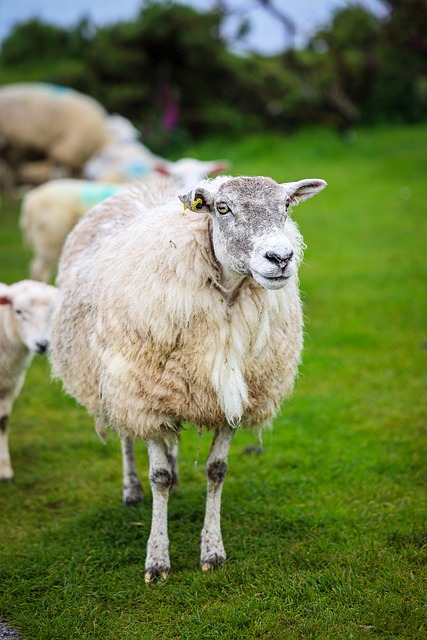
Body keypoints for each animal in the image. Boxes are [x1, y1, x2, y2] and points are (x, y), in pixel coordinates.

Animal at [0, 280, 58, 481]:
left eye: (52, 312)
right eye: (18, 311)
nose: (42, 344)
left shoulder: (10, 385)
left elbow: (3, 422)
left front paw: (4, 468)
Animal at [20, 159, 229, 283]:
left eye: (204, 174)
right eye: (175, 174)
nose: (193, 189)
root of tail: (31, 198)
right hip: (49, 238)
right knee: (39, 270)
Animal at [50, 174, 327, 581]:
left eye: (287, 206)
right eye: (222, 208)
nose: (280, 258)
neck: (225, 294)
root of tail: (142, 185)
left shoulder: (233, 397)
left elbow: (216, 470)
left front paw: (212, 551)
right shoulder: (145, 396)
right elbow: (158, 477)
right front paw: (157, 559)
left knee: (171, 441)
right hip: (118, 379)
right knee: (127, 436)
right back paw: (132, 489)